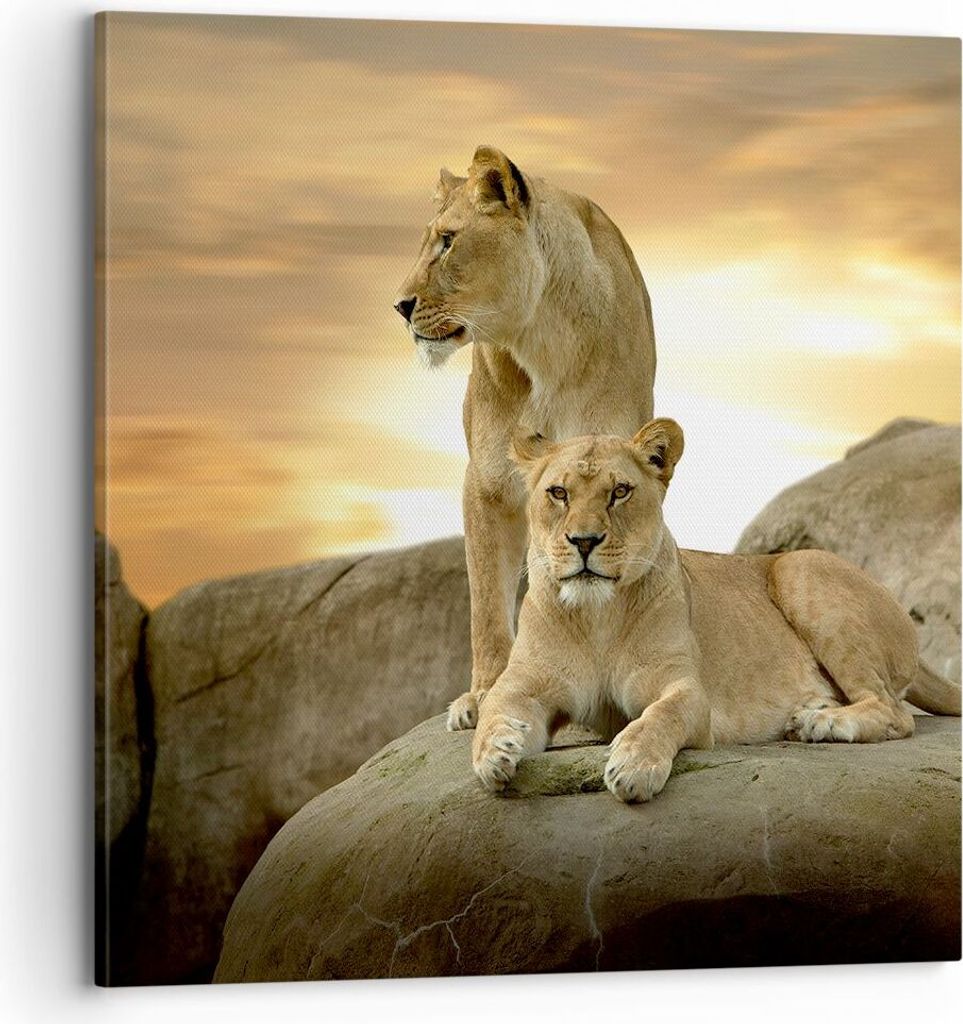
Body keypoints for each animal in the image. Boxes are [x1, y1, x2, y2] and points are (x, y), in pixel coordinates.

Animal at [394, 146, 656, 731]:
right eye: (426, 242)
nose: (399, 306)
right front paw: (484, 694)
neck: (541, 338)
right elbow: (488, 599)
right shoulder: (488, 483)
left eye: (448, 241)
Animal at [472, 420, 962, 803]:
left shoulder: (686, 690)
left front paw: (633, 765)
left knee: (893, 711)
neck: (597, 618)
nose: (584, 541)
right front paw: (494, 751)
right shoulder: (526, 684)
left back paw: (818, 722)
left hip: (800, 568)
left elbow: (659, 717)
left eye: (620, 492)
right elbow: (495, 707)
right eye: (558, 493)